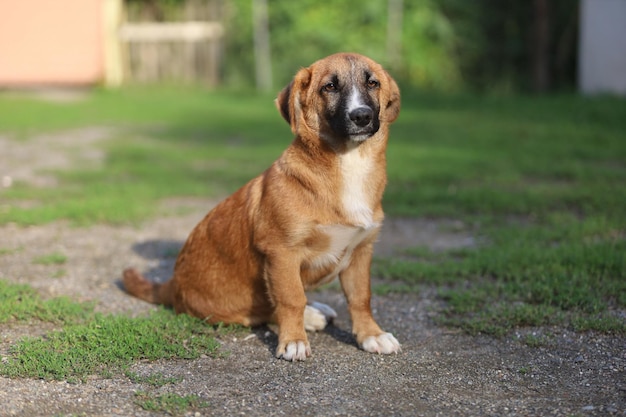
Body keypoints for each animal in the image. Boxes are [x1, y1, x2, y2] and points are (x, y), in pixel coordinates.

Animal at [122, 52, 400, 360]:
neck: (348, 162)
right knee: (267, 311)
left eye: (373, 83)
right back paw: (310, 316)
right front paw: (293, 341)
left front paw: (372, 335)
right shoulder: (282, 252)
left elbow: (361, 298)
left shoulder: (361, 250)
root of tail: (172, 286)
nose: (361, 116)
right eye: (329, 87)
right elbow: (291, 299)